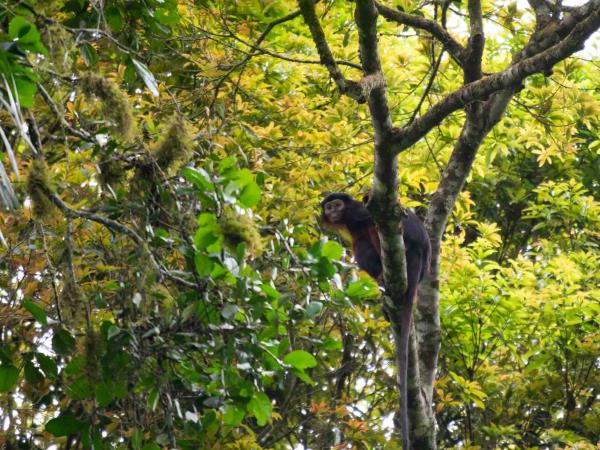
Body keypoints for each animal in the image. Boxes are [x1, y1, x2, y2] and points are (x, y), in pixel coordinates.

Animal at [318, 192, 432, 448]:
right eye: (328, 207)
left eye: (336, 205)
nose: (332, 211)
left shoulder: (359, 213)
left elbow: (372, 218)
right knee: (360, 241)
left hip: (407, 249)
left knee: (371, 233)